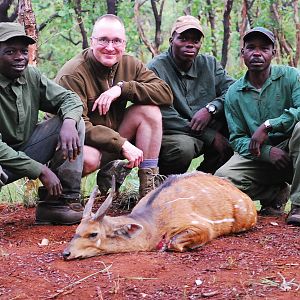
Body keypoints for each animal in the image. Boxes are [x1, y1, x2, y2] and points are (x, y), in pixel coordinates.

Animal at [62, 172, 256, 258]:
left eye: (93, 234)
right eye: (77, 230)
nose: (65, 253)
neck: (152, 225)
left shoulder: (202, 227)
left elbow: (173, 243)